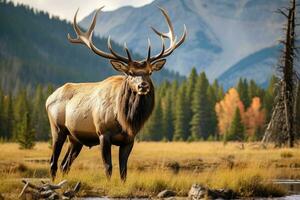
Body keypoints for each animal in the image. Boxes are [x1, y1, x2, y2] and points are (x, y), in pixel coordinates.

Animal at [45, 5, 186, 181]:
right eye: (130, 73)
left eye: (150, 72)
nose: (143, 86)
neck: (124, 119)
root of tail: (48, 98)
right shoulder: (103, 133)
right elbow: (108, 167)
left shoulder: (129, 140)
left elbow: (124, 170)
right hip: (57, 128)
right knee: (53, 162)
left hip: (75, 138)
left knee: (65, 164)